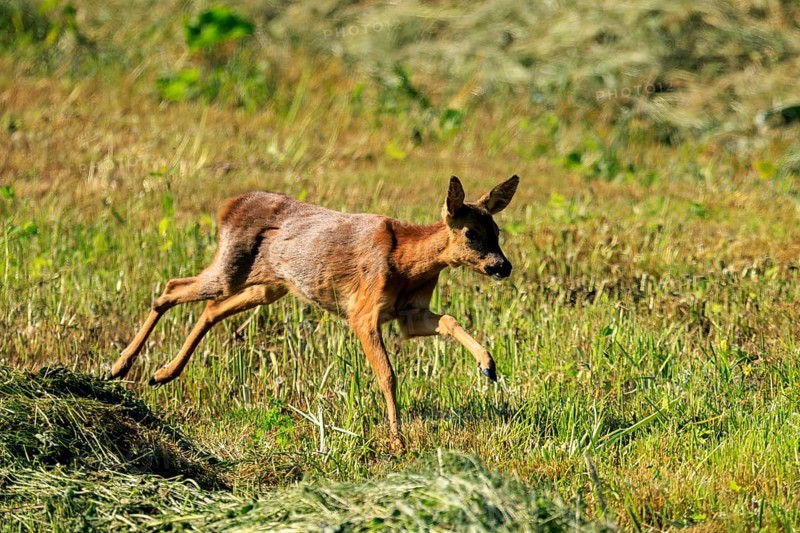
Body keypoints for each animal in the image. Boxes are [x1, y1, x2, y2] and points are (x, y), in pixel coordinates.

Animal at [107, 175, 519, 452]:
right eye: (471, 233)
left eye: (497, 230)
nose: (503, 266)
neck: (407, 262)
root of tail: (228, 206)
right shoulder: (363, 312)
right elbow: (387, 375)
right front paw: (397, 441)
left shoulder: (409, 314)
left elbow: (448, 320)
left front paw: (488, 365)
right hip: (230, 268)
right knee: (171, 288)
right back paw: (120, 367)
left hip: (268, 286)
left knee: (210, 308)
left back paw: (161, 373)